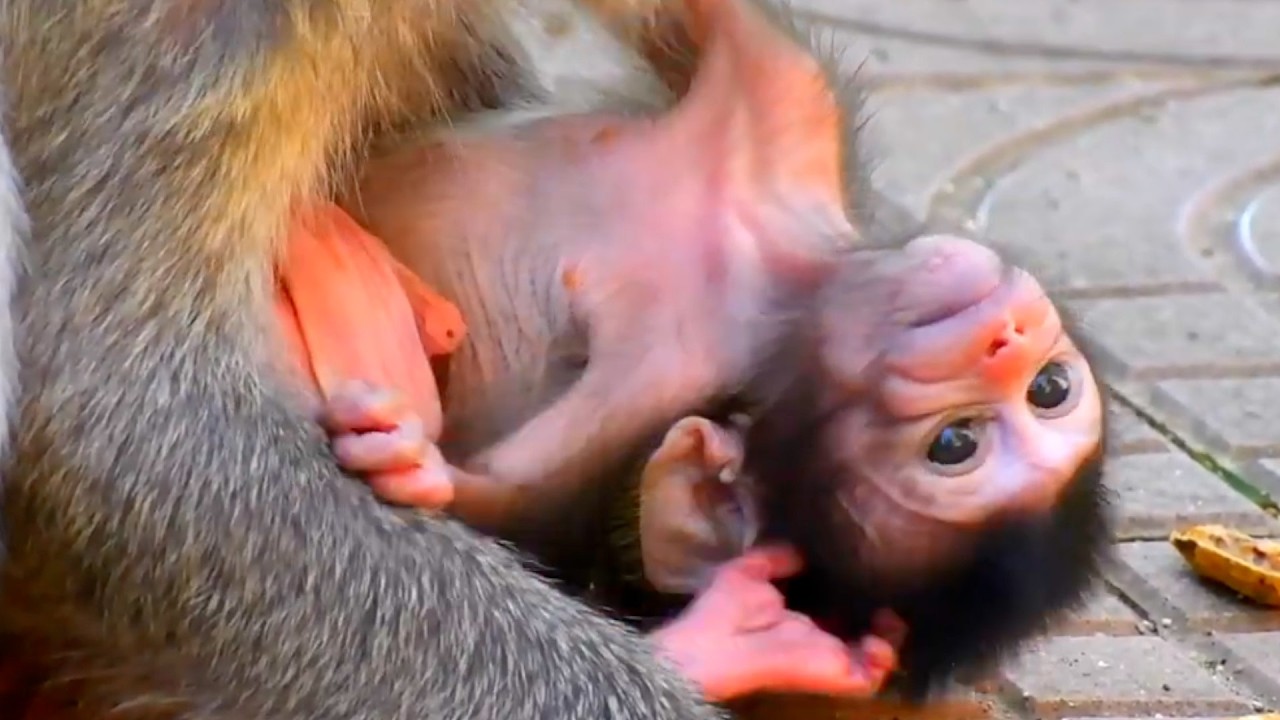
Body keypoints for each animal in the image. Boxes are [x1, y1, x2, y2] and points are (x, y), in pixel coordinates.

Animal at [333, 0, 1113, 702]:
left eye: (952, 445)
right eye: (1050, 389)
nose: (1005, 342)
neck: (767, 273)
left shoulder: (654, 385)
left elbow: (508, 491)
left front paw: (416, 462)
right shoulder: (793, 105)